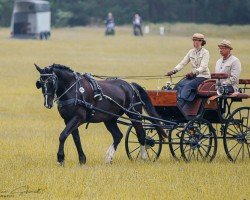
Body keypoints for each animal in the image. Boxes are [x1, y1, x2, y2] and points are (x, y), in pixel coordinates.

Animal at [34, 64, 166, 166]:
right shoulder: (68, 119)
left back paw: (143, 157)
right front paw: (82, 159)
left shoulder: (78, 118)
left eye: (51, 82)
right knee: (118, 135)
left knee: (141, 134)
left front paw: (60, 159)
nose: (47, 103)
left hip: (134, 115)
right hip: (110, 119)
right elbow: (76, 138)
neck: (74, 89)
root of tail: (131, 86)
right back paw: (108, 158)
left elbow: (63, 135)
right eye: (40, 83)